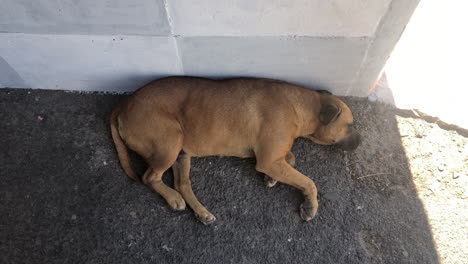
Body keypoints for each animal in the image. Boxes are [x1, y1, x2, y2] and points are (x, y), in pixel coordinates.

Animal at [111, 77, 360, 225]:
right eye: (349, 125)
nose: (360, 140)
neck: (299, 106)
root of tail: (123, 104)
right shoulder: (269, 159)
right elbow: (308, 181)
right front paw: (310, 205)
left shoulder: (272, 157)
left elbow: (291, 158)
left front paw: (272, 178)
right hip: (170, 142)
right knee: (149, 177)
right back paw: (173, 199)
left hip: (181, 153)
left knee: (181, 184)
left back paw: (201, 212)